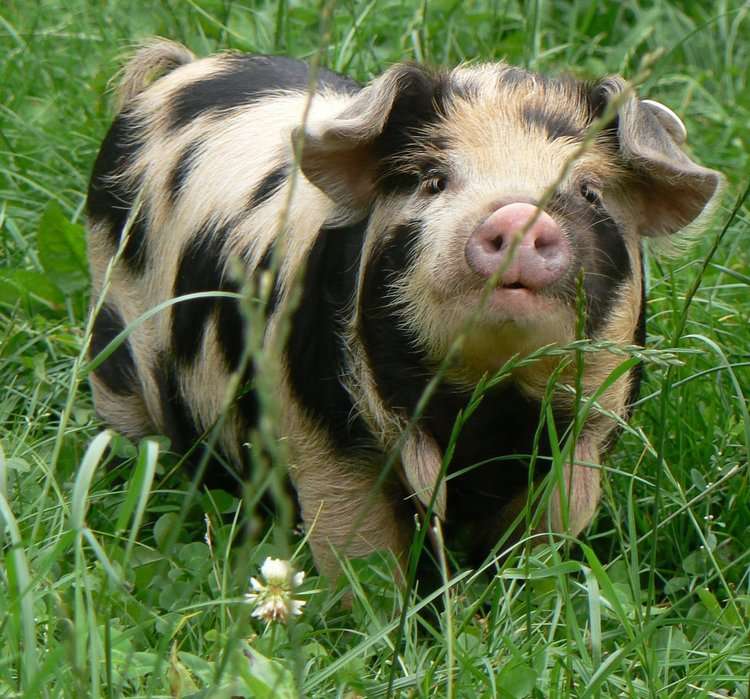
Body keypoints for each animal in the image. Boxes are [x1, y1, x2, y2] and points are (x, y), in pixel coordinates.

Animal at [85, 41, 724, 584]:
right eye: (432, 181)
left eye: (590, 191)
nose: (519, 214)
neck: (489, 398)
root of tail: (180, 72)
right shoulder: (326, 438)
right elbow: (359, 551)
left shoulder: (588, 435)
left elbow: (541, 545)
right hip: (111, 334)